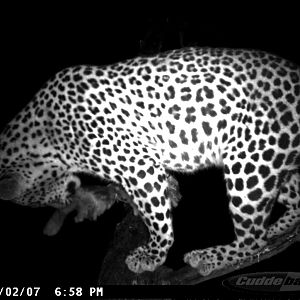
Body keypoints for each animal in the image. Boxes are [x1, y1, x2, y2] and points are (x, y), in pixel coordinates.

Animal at [0, 47, 298, 276]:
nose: (64, 200)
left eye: (36, 199)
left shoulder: (139, 166)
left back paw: (209, 256)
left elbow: (157, 219)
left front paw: (151, 255)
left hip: (249, 163)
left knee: (253, 239)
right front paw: (171, 190)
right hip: (276, 164)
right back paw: (276, 229)